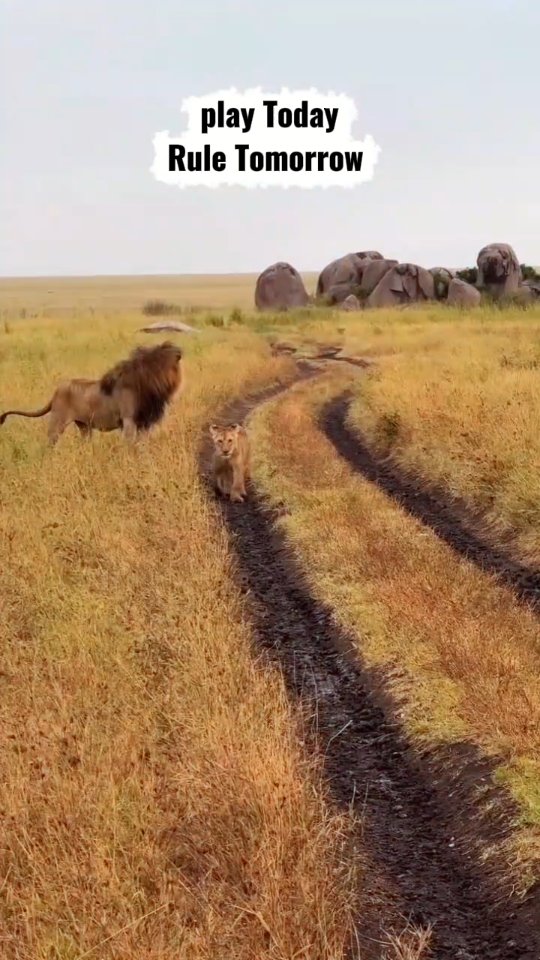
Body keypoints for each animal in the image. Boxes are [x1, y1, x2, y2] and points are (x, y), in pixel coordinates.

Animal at [0, 341, 183, 445]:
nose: (179, 351)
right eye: (165, 350)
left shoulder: (143, 423)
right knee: (49, 442)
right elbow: (130, 445)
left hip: (84, 426)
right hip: (58, 421)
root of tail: (55, 392)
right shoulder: (128, 420)